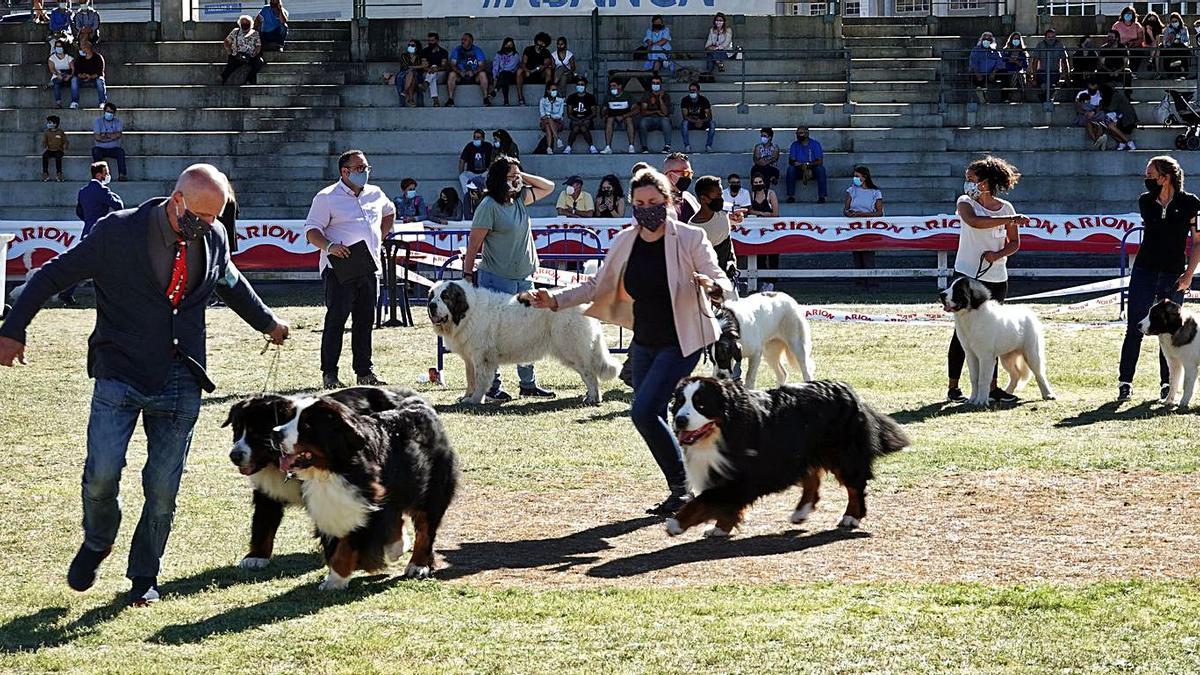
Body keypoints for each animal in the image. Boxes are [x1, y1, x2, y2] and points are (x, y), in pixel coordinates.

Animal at [223, 384, 415, 566]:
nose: (235, 455)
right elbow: (263, 523)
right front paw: (255, 557)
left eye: (256, 433)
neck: (276, 465)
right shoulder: (267, 491)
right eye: (236, 430)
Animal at [273, 391, 458, 586]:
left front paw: (336, 580)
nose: (275, 433)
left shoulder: (367, 505)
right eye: (291, 417)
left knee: (425, 529)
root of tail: (419, 404)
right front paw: (335, 578)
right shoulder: (331, 508)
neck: (333, 470)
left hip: (433, 491)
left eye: (306, 425)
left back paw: (418, 564)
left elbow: (349, 545)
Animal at [427, 276, 619, 401]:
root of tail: (584, 304)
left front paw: (474, 400)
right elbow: (470, 378)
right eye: (432, 296)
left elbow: (480, 379)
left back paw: (593, 397)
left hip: (571, 349)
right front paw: (467, 396)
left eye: (445, 296)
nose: (431, 305)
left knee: (589, 374)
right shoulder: (469, 358)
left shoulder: (482, 357)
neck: (468, 312)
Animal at [667, 372, 907, 535]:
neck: (723, 430)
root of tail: (845, 388)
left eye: (701, 405)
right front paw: (720, 528)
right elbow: (722, 505)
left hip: (842, 454)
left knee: (855, 486)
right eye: (679, 402)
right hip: (799, 454)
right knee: (813, 480)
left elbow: (705, 500)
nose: (680, 420)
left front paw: (677, 523)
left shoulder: (742, 477)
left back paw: (851, 517)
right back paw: (801, 511)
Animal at [940, 275, 1056, 403]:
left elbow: (983, 379)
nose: (941, 294)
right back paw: (1008, 393)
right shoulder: (971, 355)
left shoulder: (985, 356)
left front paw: (981, 401)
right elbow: (974, 378)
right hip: (1006, 357)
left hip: (1031, 354)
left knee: (1039, 374)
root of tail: (1029, 313)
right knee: (1015, 375)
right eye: (951, 286)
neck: (971, 315)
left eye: (958, 290)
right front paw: (973, 399)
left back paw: (1048, 394)